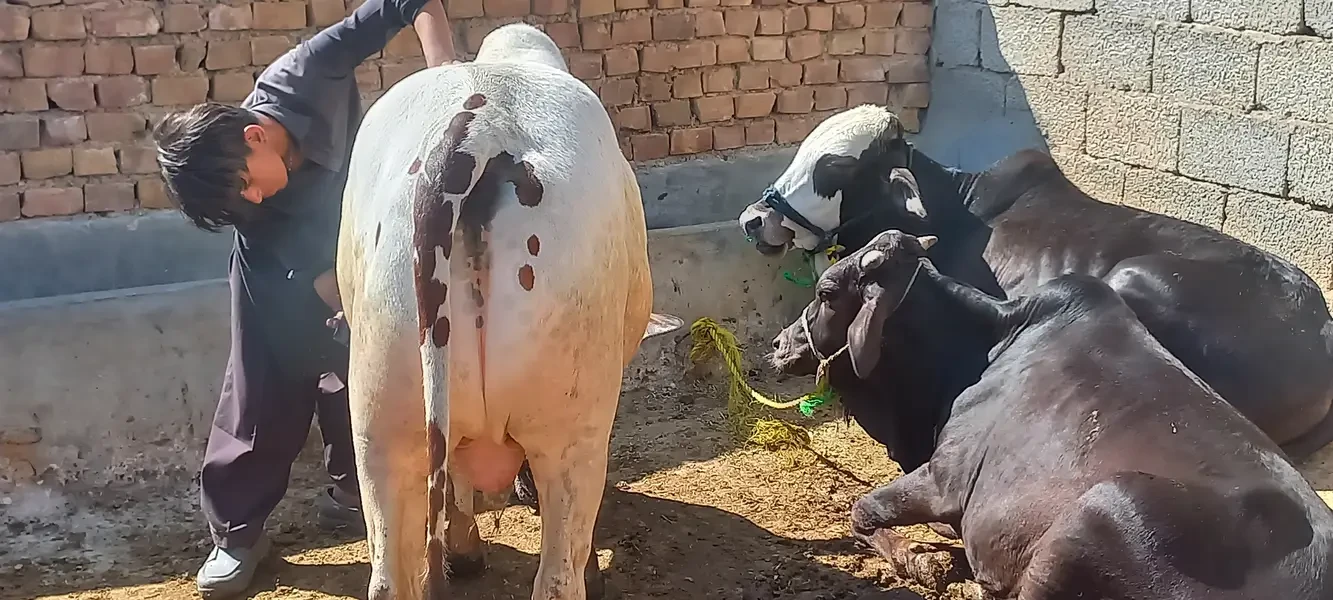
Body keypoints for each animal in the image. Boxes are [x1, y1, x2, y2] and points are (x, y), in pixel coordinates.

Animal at [336, 24, 681, 600]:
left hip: (378, 417)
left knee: (388, 573)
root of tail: (475, 130)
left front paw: (463, 550)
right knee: (560, 574)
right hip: (572, 427)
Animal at [771, 229, 1333, 599]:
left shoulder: (944, 476)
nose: (778, 345)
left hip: (1105, 508)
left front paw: (918, 560)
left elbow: (862, 509)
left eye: (825, 292)